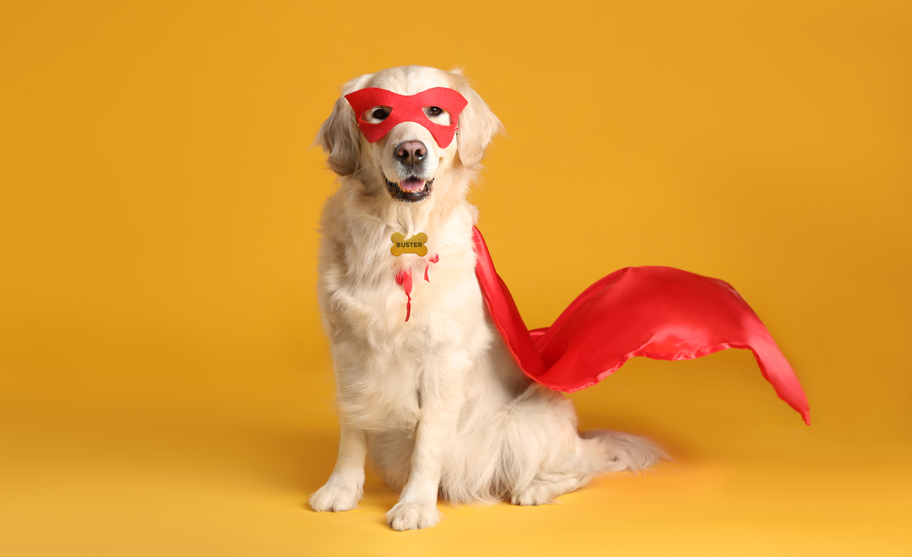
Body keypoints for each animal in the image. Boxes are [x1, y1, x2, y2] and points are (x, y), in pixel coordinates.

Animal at [308, 66, 664, 528]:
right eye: (380, 113)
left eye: (435, 111)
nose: (411, 152)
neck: (399, 235)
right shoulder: (347, 348)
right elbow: (352, 425)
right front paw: (341, 489)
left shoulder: (444, 358)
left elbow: (428, 443)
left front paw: (415, 505)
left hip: (524, 423)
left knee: (583, 467)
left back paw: (536, 489)